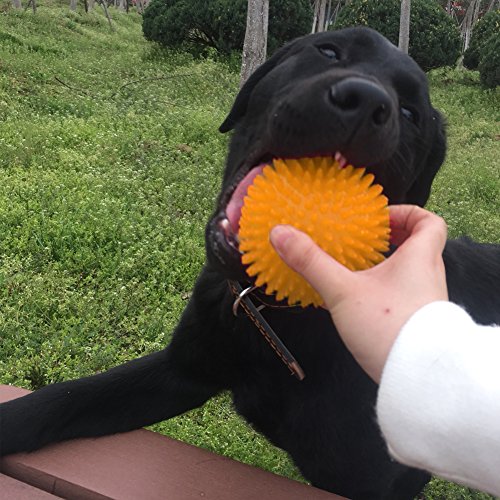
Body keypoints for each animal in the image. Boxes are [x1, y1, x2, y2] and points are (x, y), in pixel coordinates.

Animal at [0, 28, 500, 500]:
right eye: (329, 51)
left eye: (412, 113)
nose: (365, 102)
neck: (274, 313)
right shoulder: (181, 370)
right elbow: (57, 400)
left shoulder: (382, 480)